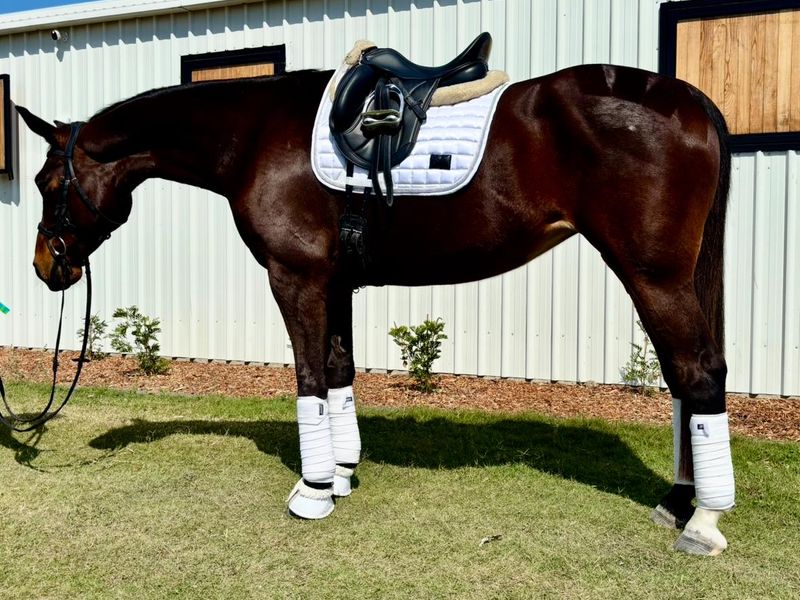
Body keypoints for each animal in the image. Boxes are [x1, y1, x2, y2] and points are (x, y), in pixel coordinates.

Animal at [16, 56, 733, 555]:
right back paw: (679, 501)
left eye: (48, 182)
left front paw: (312, 492)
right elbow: (339, 374)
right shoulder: (335, 284)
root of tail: (691, 100)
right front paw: (341, 472)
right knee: (686, 380)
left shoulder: (296, 278)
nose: (46, 265)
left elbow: (309, 380)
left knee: (697, 375)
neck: (255, 136)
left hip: (652, 274)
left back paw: (701, 520)